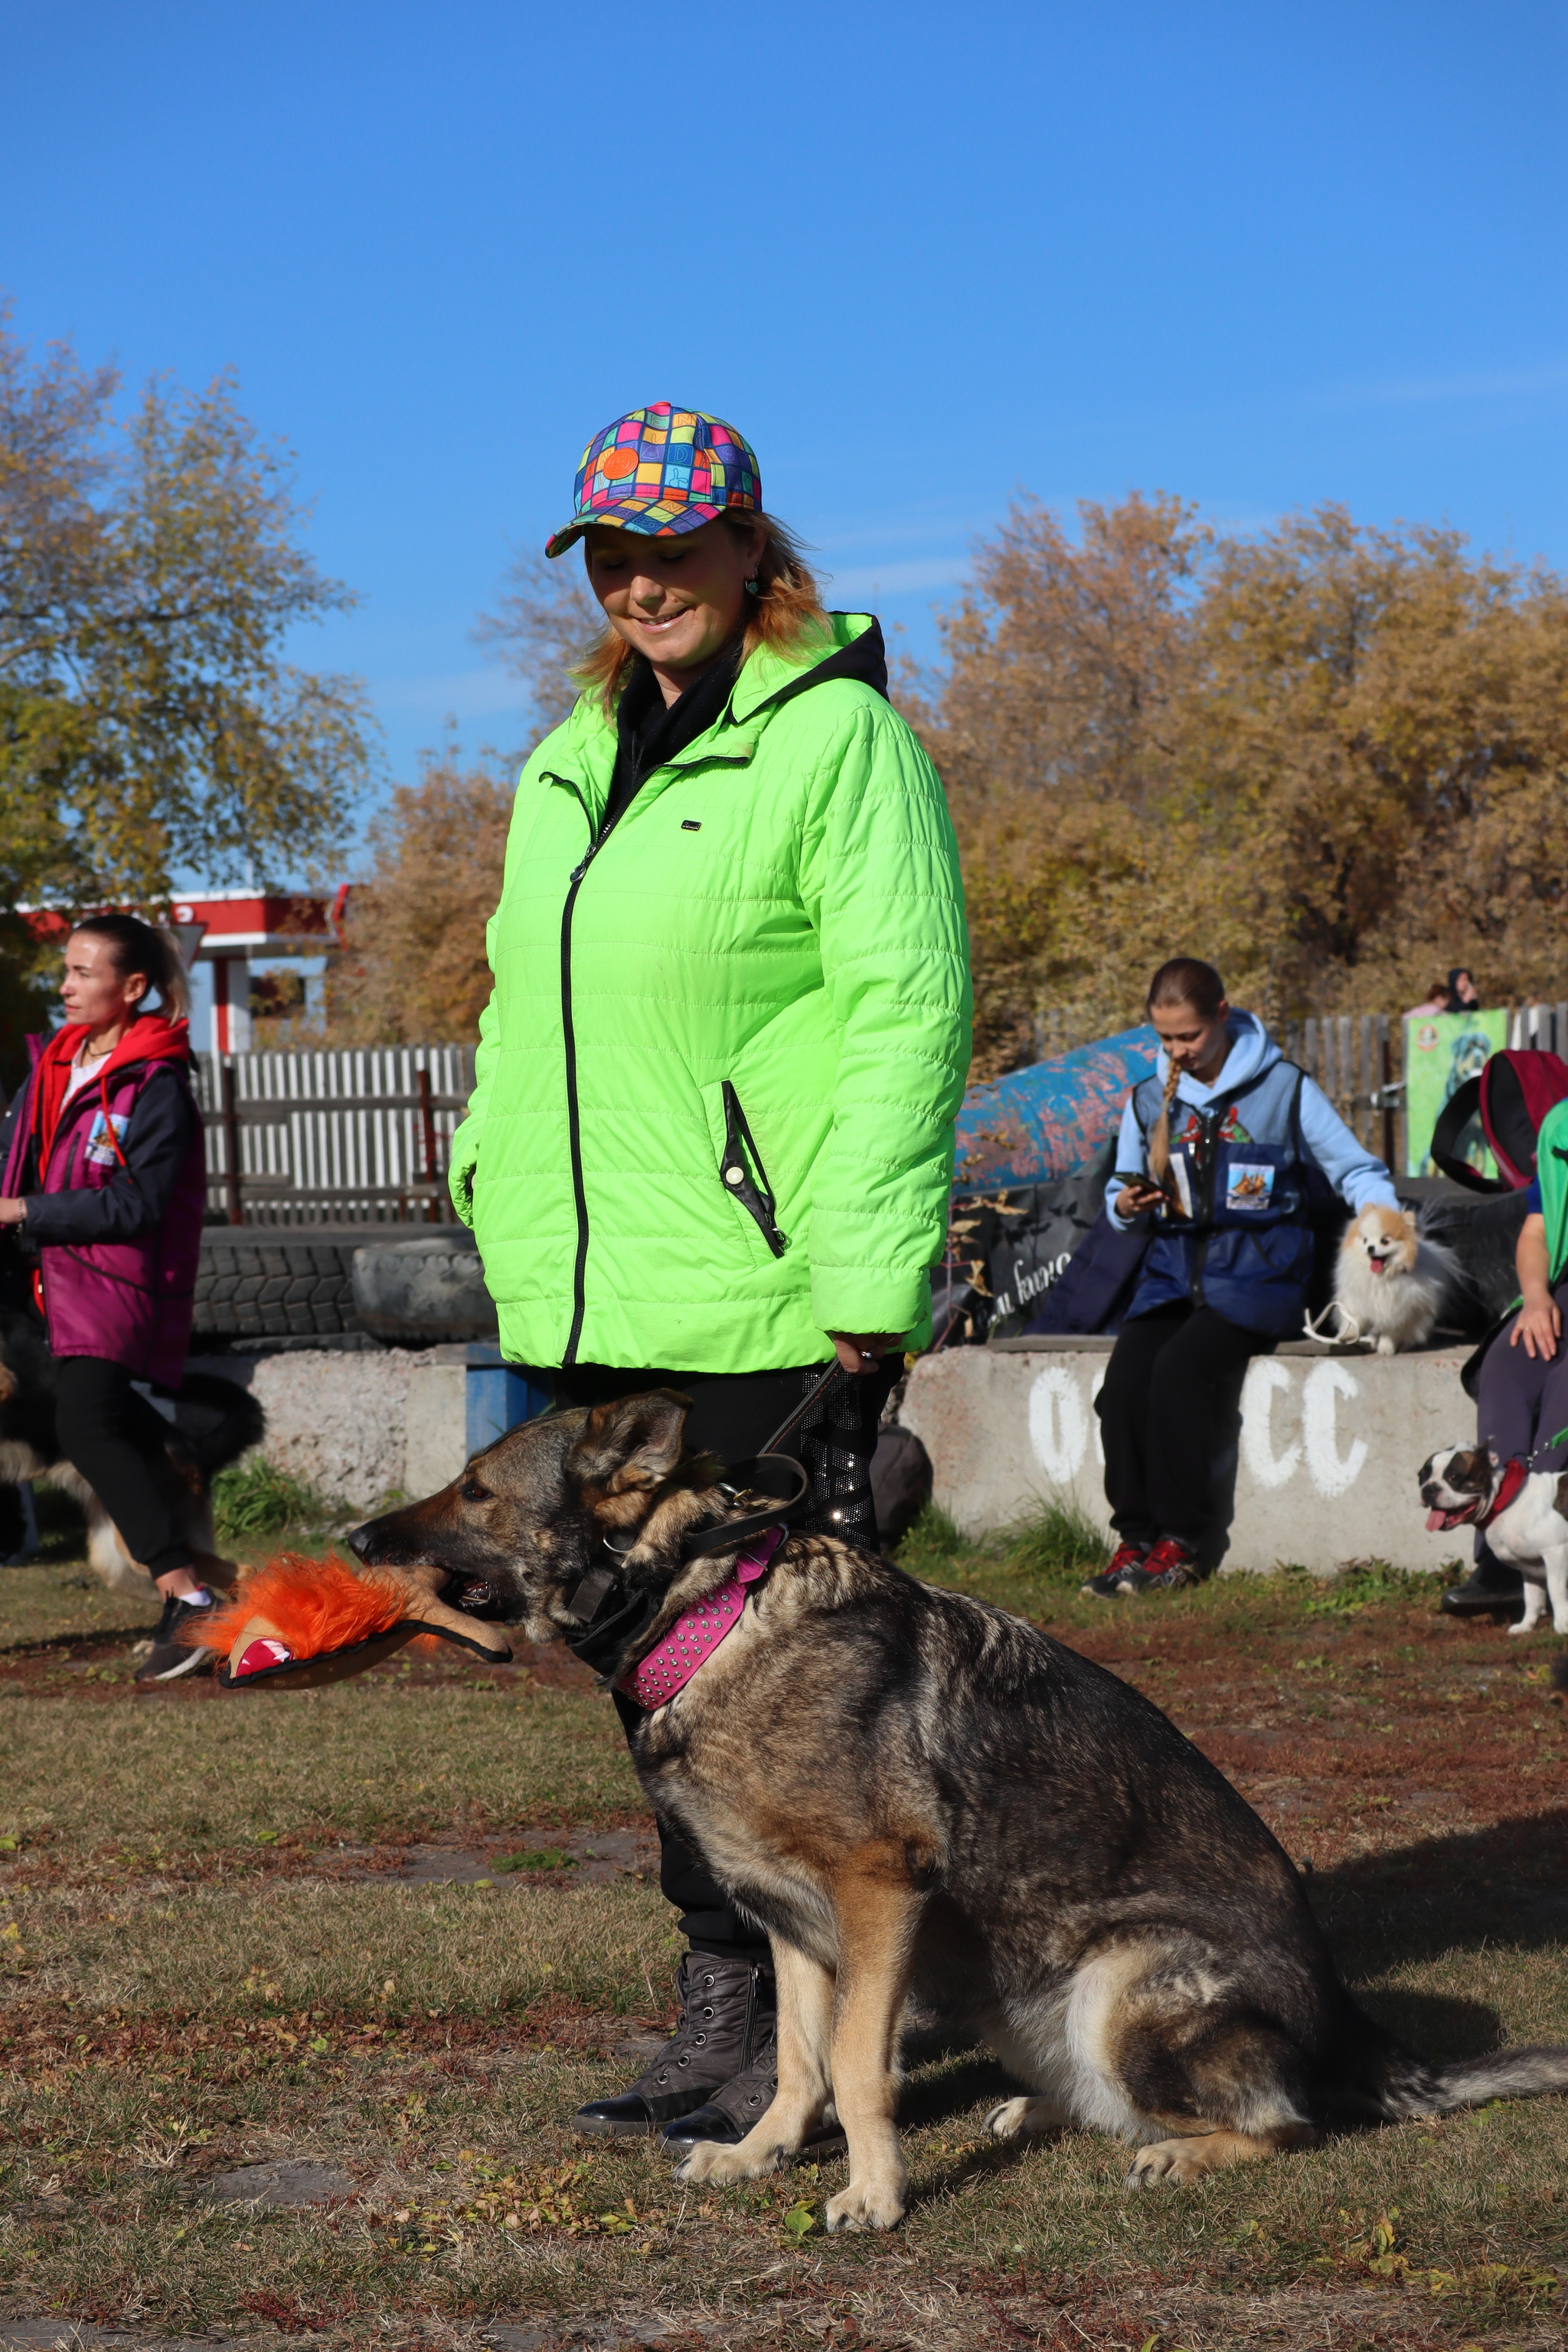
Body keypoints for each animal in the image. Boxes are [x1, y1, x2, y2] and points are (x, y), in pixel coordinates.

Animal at [350, 1383, 1560, 2230]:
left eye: (476, 1490)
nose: (355, 1542)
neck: (710, 1618)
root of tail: (1354, 2026)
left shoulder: (879, 1897)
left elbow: (854, 2067)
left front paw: (874, 2196)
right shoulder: (791, 1925)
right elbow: (797, 2059)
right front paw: (759, 2154)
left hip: (1118, 1989)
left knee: (1285, 2118)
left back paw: (1179, 2150)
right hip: (1013, 1999)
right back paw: (1043, 2110)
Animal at [1335, 1204, 1457, 1354]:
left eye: (1385, 1241)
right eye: (1365, 1240)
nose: (1370, 1248)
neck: (1382, 1275)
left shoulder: (1400, 1309)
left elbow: (1391, 1331)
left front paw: (1386, 1348)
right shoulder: (1358, 1298)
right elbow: (1354, 1318)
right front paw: (1348, 1334)